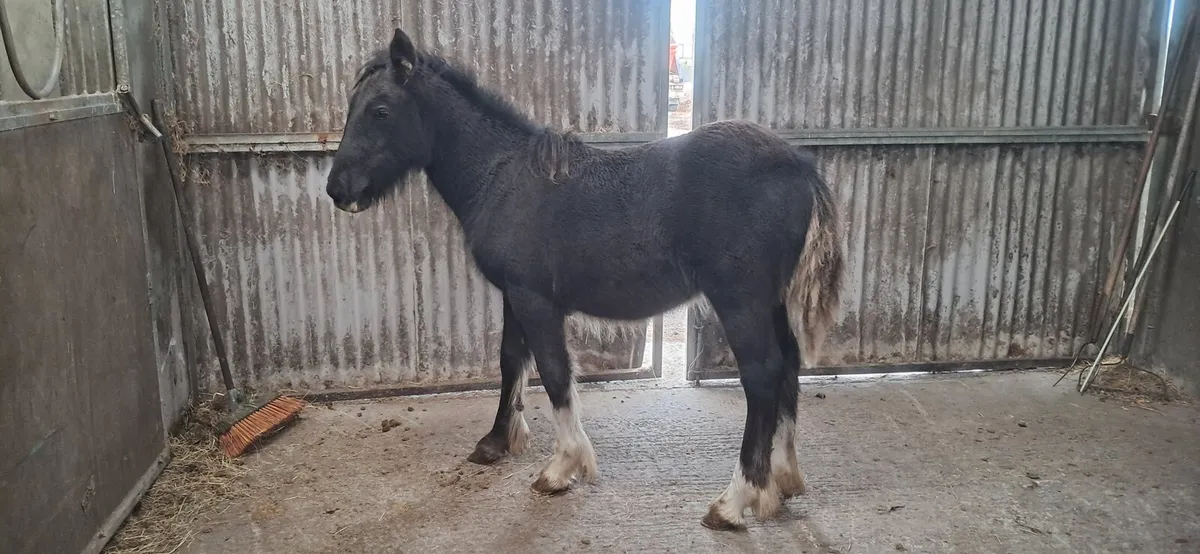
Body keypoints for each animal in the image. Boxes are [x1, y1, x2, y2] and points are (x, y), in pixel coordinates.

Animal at [326, 28, 845, 531]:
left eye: (380, 110)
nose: (338, 188)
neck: (501, 177)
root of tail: (799, 165)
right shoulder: (514, 296)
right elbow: (511, 361)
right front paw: (496, 441)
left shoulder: (536, 300)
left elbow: (555, 372)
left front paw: (561, 468)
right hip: (770, 301)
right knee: (788, 366)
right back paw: (782, 479)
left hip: (740, 301)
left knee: (762, 376)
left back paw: (734, 501)